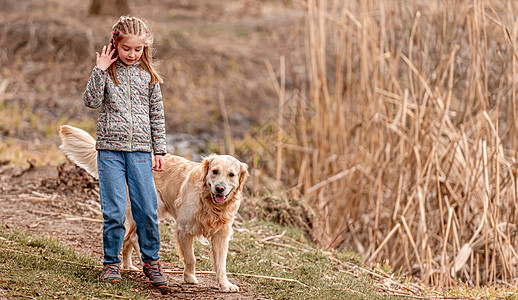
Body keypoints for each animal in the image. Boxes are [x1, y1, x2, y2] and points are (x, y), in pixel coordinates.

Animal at [59, 125, 250, 292]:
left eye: (231, 175)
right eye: (215, 172)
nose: (219, 188)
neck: (209, 203)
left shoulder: (221, 235)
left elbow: (221, 265)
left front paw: (225, 285)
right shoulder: (184, 229)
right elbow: (191, 258)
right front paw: (189, 277)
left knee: (129, 239)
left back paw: (129, 265)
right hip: (150, 207)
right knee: (132, 237)